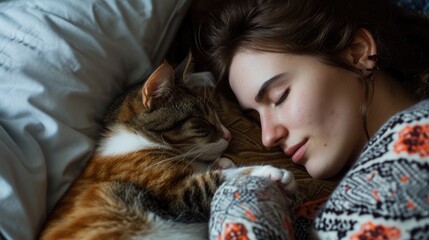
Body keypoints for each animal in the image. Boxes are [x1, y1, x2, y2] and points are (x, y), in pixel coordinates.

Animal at [39, 57, 294, 239]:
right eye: (201, 122)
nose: (229, 135)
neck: (136, 137)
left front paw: (221, 161)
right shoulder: (176, 192)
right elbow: (214, 180)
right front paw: (271, 172)